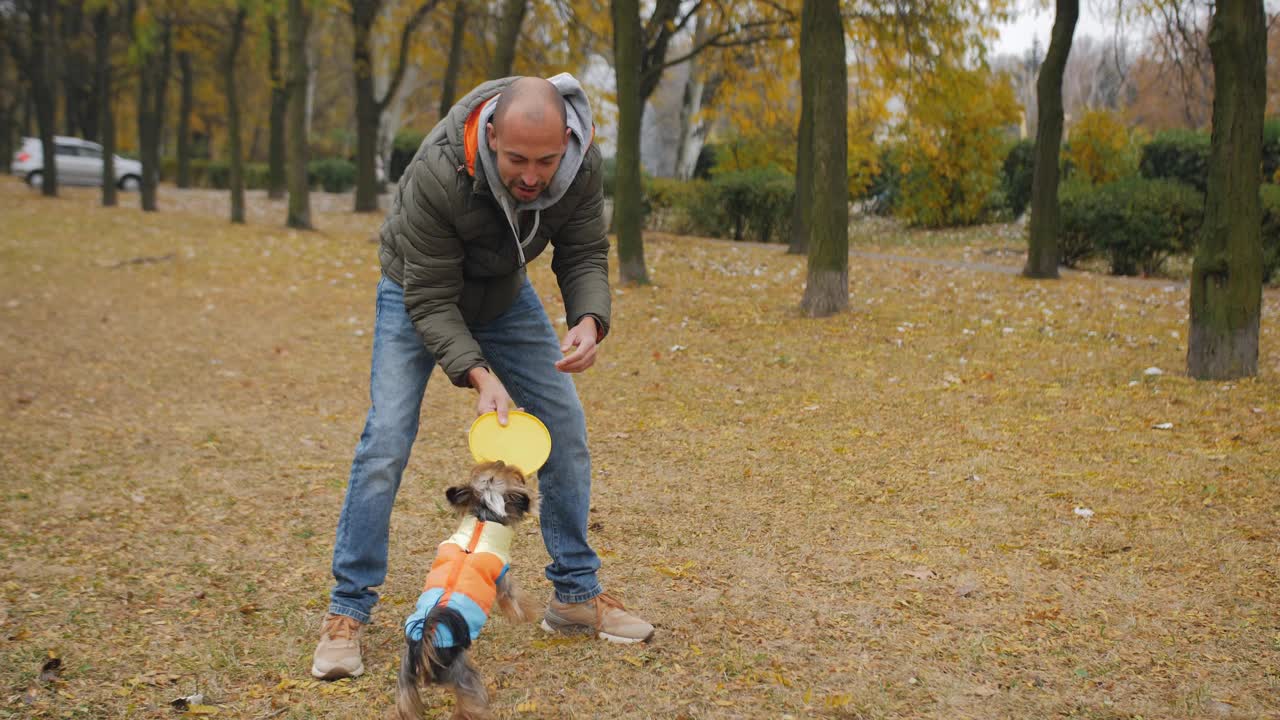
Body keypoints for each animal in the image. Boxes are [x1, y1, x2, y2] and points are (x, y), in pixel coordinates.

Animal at [396, 458, 542, 717]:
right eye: (510, 473)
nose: (502, 459)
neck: (483, 519)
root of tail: (424, 644)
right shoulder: (503, 581)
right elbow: (516, 601)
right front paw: (528, 615)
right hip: (464, 676)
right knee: (471, 703)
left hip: (405, 681)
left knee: (406, 705)